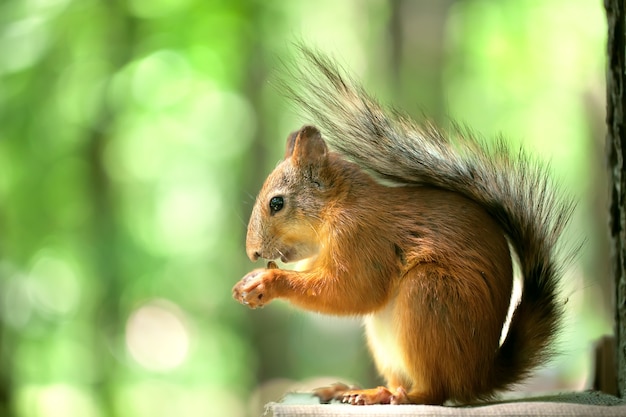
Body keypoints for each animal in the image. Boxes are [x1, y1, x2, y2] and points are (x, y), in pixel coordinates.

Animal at [232, 47, 572, 404]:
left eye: (277, 203)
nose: (253, 252)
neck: (338, 206)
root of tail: (479, 376)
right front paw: (248, 283)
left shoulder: (363, 238)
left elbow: (351, 292)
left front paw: (268, 282)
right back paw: (357, 390)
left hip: (429, 297)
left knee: (436, 391)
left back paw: (399, 396)